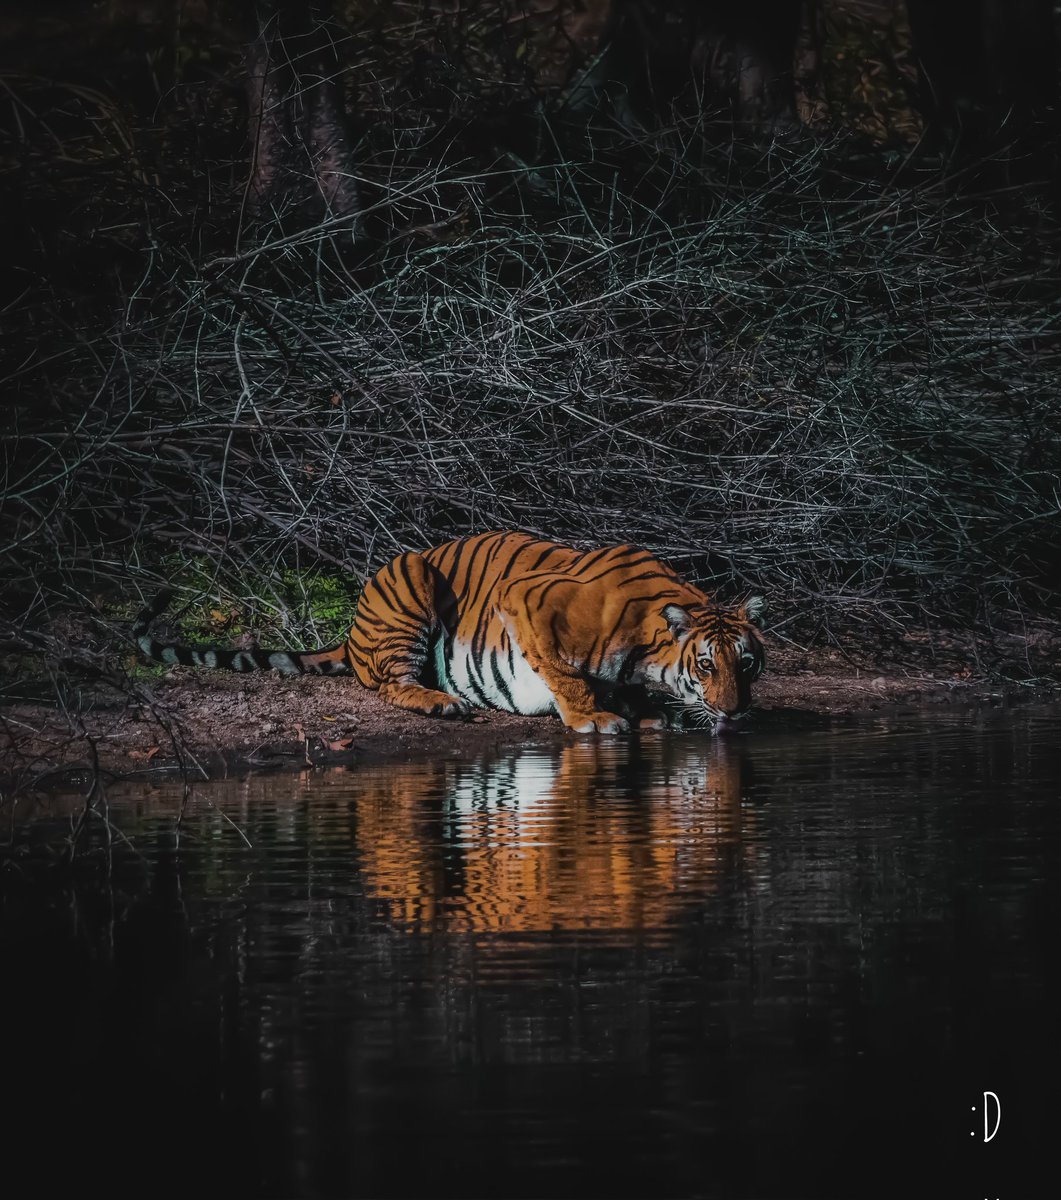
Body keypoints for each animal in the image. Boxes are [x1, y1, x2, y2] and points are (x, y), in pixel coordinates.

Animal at [134, 531, 766, 733]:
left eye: (748, 663)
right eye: (706, 664)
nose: (736, 712)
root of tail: (352, 629)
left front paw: (652, 713)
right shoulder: (526, 599)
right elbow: (564, 673)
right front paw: (595, 718)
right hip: (410, 574)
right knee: (388, 682)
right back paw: (441, 701)